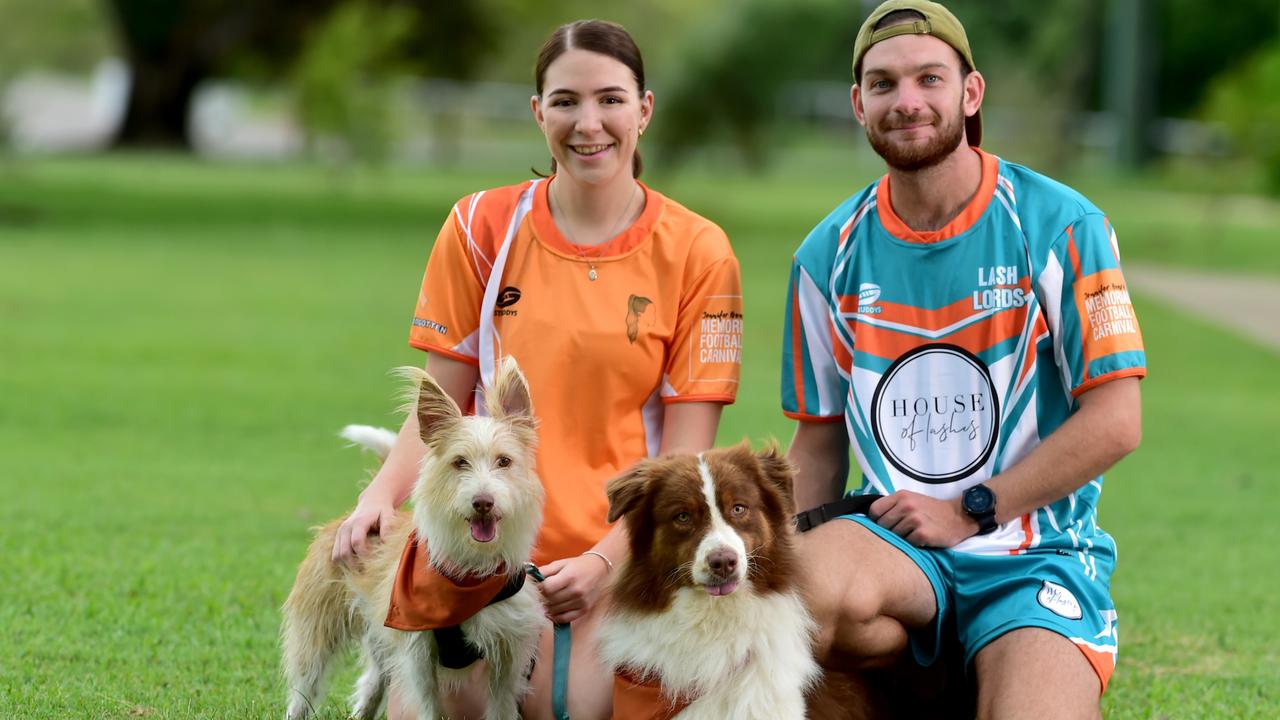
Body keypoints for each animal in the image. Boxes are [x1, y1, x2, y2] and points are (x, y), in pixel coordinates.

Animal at [282, 358, 547, 717]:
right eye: (459, 462)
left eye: (504, 461)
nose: (483, 502)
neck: (467, 576)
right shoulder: (417, 654)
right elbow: (429, 705)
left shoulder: (507, 654)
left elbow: (501, 706)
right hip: (318, 633)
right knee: (304, 689)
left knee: (371, 685)